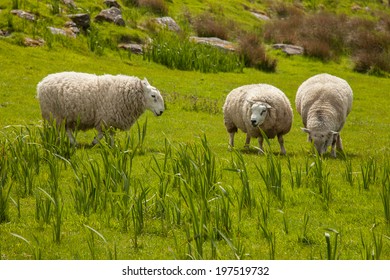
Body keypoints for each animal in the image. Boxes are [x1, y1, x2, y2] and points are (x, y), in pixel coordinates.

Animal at [36, 71, 165, 145]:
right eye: (153, 96)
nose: (161, 111)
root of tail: (41, 83)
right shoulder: (106, 118)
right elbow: (103, 133)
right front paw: (94, 142)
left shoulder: (113, 120)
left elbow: (111, 134)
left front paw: (113, 146)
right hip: (54, 113)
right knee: (61, 129)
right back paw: (67, 142)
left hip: (66, 116)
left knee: (66, 129)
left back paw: (72, 142)